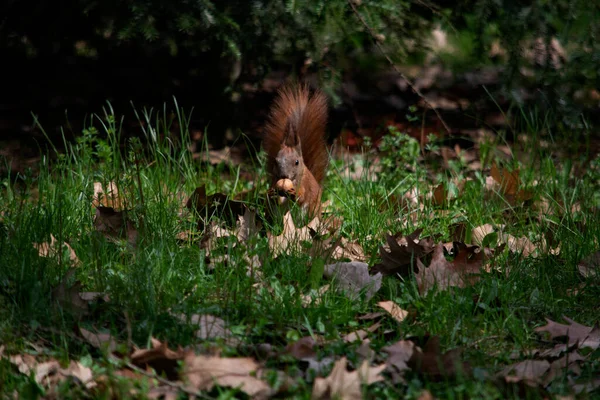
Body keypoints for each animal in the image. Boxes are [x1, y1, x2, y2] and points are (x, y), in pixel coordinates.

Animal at [262, 84, 328, 219]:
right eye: (275, 161)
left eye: (296, 162)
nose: (284, 176)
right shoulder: (274, 181)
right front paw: (271, 193)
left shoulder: (305, 185)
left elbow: (302, 197)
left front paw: (295, 194)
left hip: (311, 211)